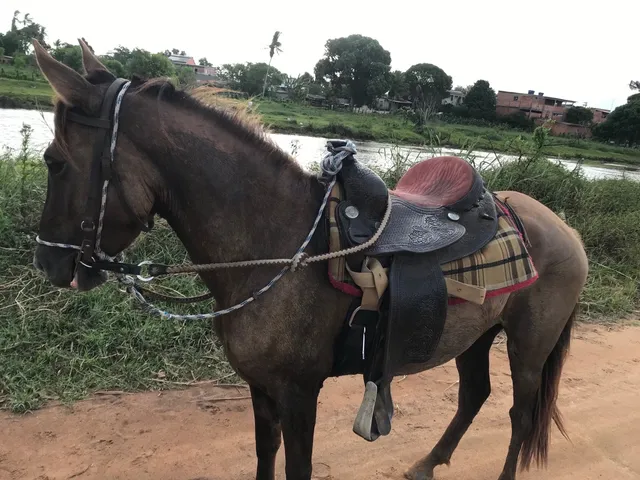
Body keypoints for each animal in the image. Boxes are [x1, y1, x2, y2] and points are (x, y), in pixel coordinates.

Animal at [30, 40, 588, 480]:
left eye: (54, 162)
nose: (48, 264)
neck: (278, 244)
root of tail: (563, 229)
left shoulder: (300, 394)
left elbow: (296, 467)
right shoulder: (261, 391)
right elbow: (264, 459)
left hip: (528, 345)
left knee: (520, 414)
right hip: (478, 335)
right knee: (475, 395)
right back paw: (427, 464)